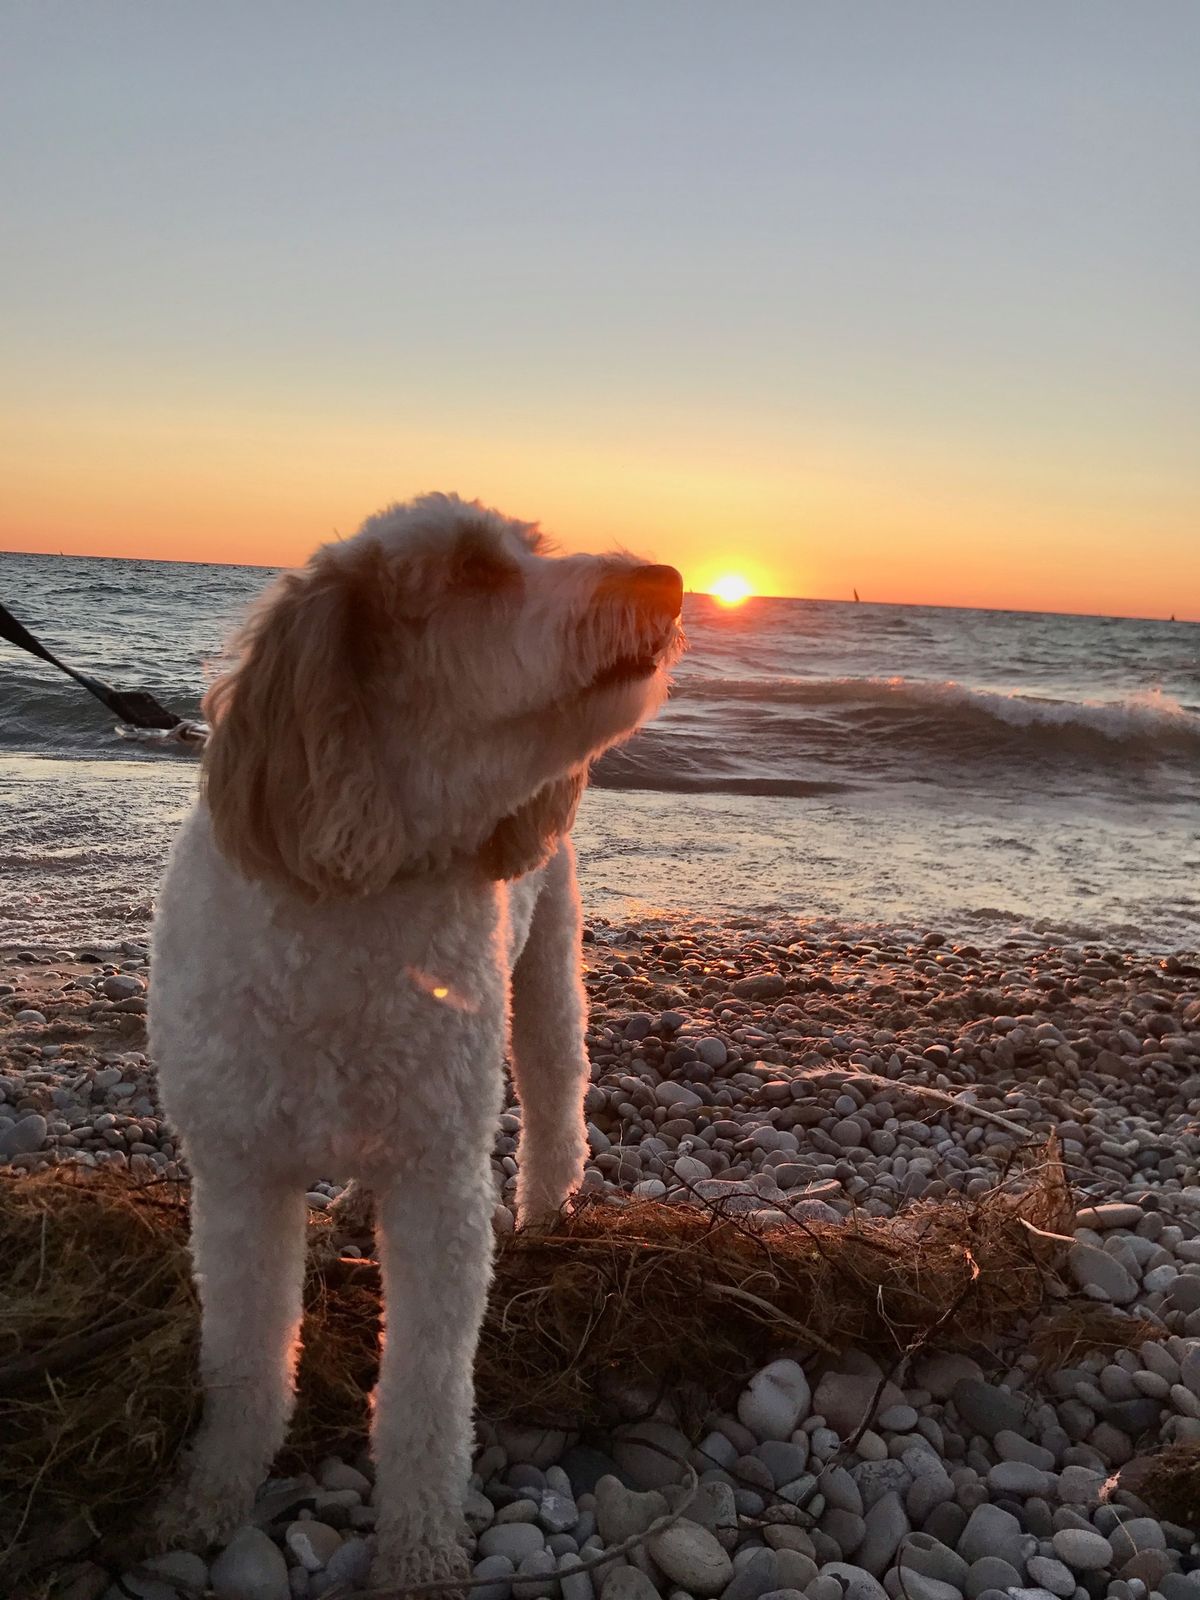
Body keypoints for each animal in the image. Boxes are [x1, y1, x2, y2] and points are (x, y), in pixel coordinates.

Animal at [148, 489, 684, 1587]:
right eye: (475, 570)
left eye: (538, 548)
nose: (666, 580)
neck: (366, 885)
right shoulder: (239, 1176)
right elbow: (246, 1361)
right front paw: (210, 1492)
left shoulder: (441, 1183)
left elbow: (427, 1399)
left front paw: (420, 1549)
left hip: (545, 971)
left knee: (560, 1091)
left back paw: (549, 1207)